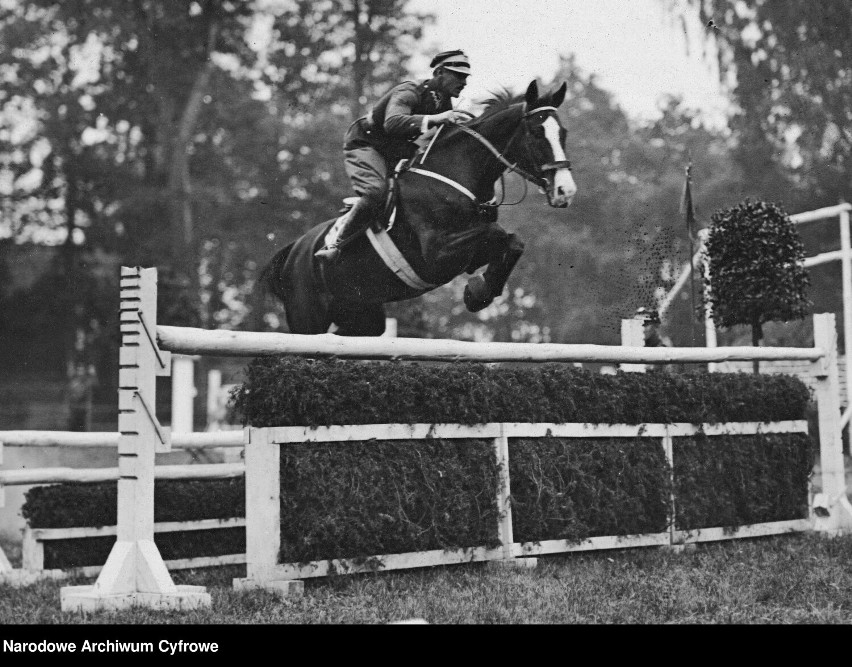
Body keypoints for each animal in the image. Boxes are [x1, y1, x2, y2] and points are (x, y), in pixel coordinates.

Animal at [262, 80, 580, 336]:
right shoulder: (438, 254)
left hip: (361, 315)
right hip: (309, 316)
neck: (455, 175)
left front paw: (479, 292)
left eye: (563, 133)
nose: (566, 191)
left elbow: (513, 242)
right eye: (537, 132)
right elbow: (496, 233)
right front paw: (477, 292)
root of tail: (294, 251)